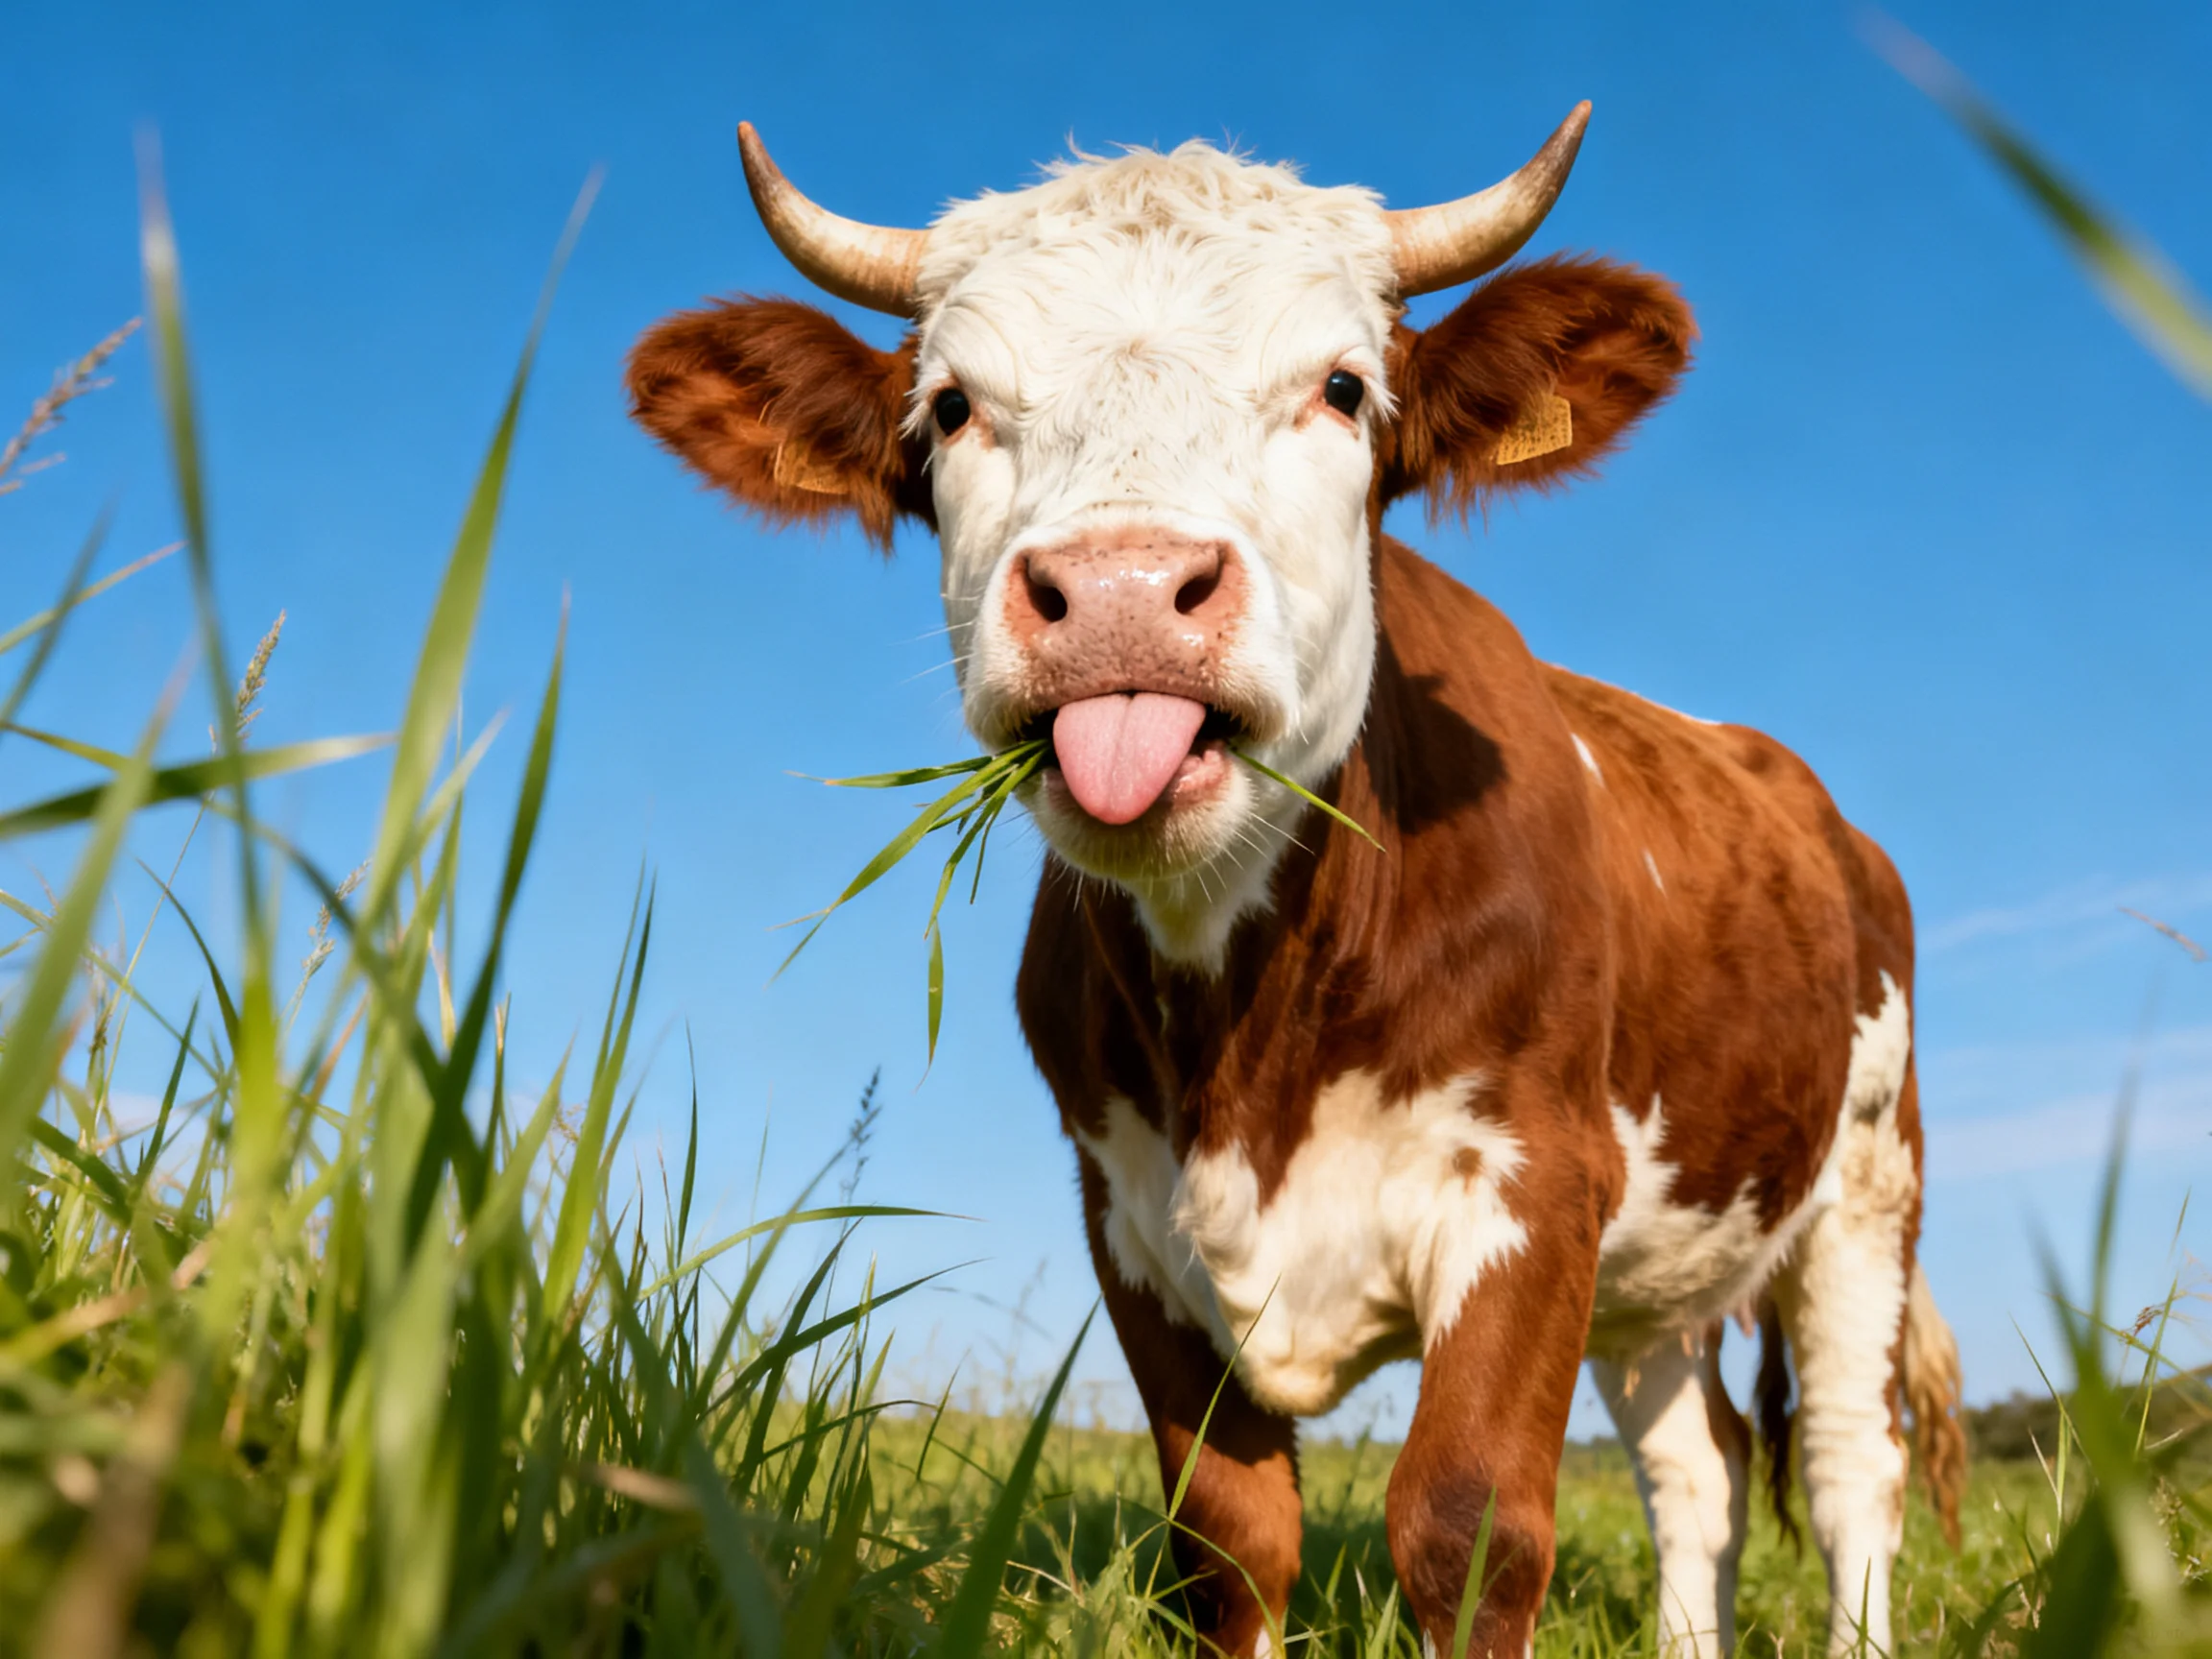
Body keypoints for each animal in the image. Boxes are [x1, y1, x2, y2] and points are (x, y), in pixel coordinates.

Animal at [627, 106, 1968, 1657]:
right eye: (952, 408)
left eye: (1341, 388)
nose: (1126, 590)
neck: (1247, 1033)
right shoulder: (1130, 1219)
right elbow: (1229, 1538)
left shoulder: (1536, 1183)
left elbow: (1466, 1523)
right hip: (1666, 1264)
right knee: (1700, 1469)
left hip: (1866, 1184)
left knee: (1850, 1463)